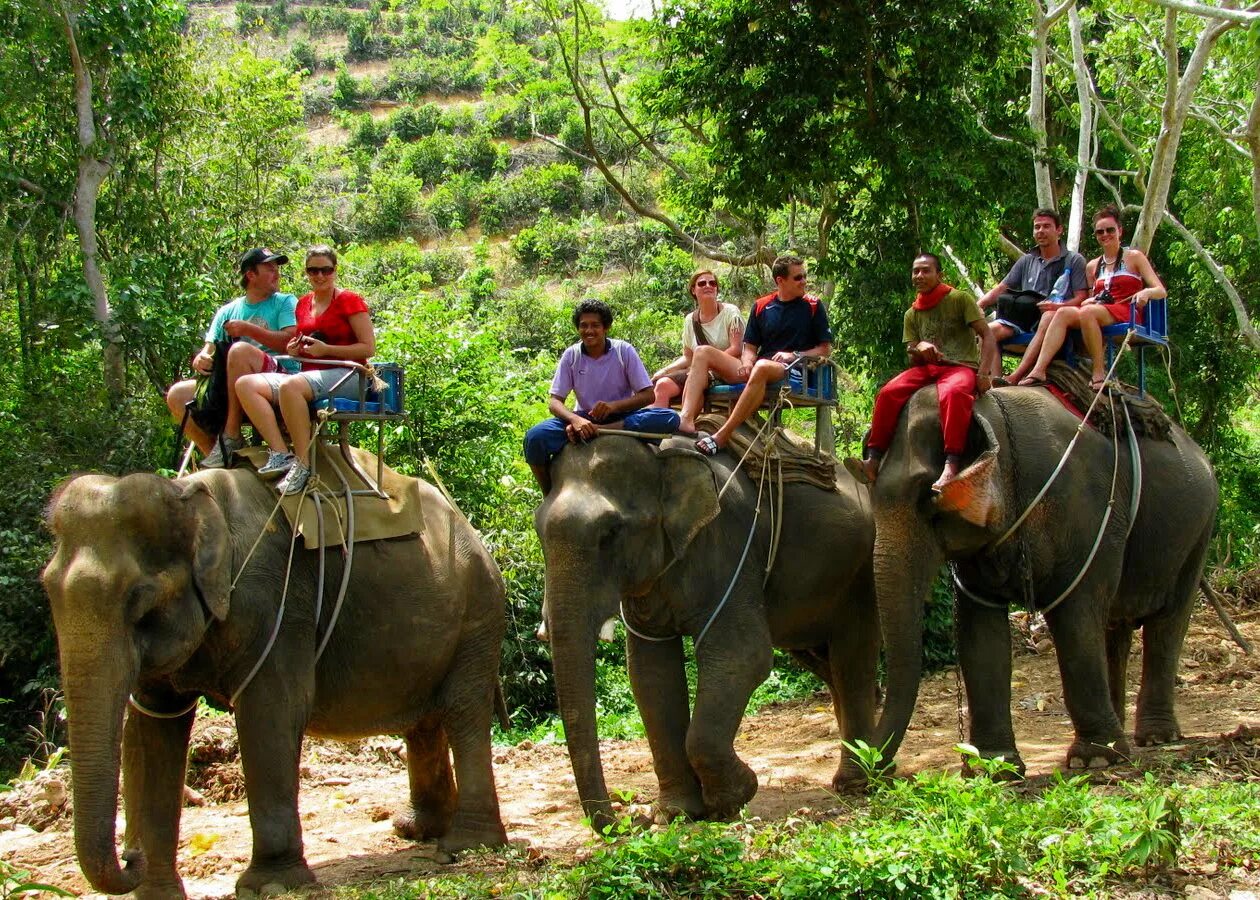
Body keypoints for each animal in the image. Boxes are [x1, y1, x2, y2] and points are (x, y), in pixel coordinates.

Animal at [44, 466, 506, 892]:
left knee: (463, 713)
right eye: (46, 590)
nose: (130, 856)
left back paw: (466, 846)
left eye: (140, 604)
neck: (192, 497)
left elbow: (273, 713)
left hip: (478, 615)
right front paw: (157, 893)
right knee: (423, 723)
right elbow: (151, 731)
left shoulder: (277, 607)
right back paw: (416, 830)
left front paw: (271, 886)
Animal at [536, 431, 882, 831]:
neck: (660, 457)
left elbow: (743, 654)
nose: (625, 821)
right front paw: (674, 813)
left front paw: (733, 798)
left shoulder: (730, 545)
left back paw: (857, 782)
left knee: (852, 658)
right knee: (826, 662)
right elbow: (651, 674)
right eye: (539, 532)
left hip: (858, 574)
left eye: (610, 533)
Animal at [866, 385, 1219, 771]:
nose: (875, 772)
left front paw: (1091, 761)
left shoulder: (1083, 514)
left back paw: (1154, 738)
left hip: (1198, 531)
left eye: (927, 498)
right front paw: (995, 768)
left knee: (1166, 623)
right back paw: (1121, 737)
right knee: (1115, 627)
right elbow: (979, 632)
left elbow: (1075, 618)